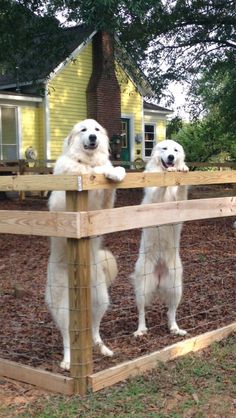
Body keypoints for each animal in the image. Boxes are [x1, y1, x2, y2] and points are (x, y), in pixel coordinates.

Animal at [46, 117, 127, 370]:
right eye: (83, 130)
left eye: (96, 130)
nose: (92, 138)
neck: (88, 161)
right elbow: (88, 171)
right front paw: (101, 170)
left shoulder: (106, 205)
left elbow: (109, 173)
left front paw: (115, 171)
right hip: (65, 308)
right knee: (67, 338)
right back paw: (67, 361)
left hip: (100, 300)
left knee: (93, 330)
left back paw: (103, 348)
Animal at [134, 140, 189, 340]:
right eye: (164, 149)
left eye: (175, 150)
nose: (171, 158)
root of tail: (158, 273)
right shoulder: (155, 198)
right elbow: (160, 186)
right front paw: (169, 172)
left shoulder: (180, 201)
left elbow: (181, 189)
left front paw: (182, 167)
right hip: (143, 287)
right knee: (142, 312)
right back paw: (140, 330)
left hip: (176, 287)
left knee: (170, 312)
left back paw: (175, 328)